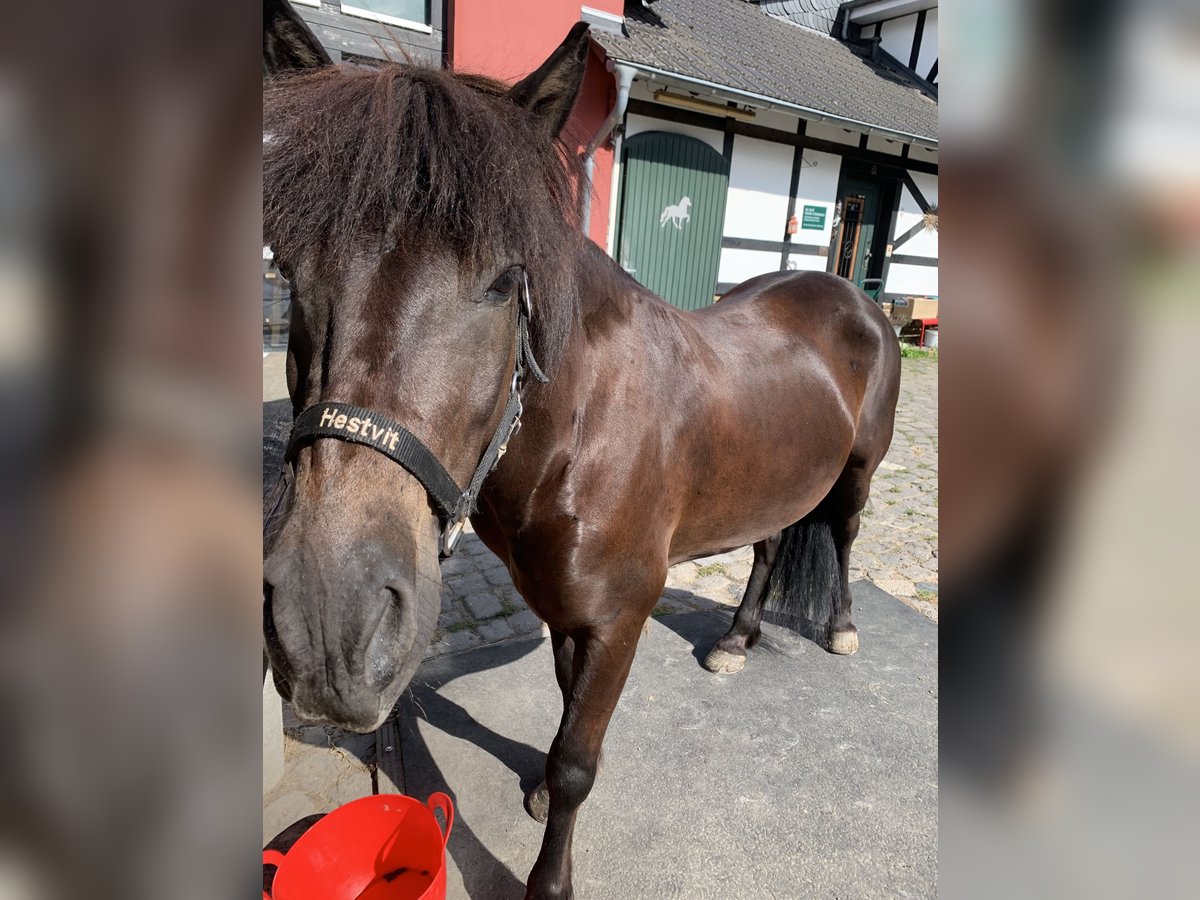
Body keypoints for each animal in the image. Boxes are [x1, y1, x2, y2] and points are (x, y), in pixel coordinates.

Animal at [262, 8, 902, 900]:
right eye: (291, 267)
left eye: (504, 281)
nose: (328, 627)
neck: (581, 434)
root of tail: (856, 297)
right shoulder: (565, 609)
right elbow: (565, 711)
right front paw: (533, 790)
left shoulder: (618, 615)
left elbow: (577, 760)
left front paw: (548, 873)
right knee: (772, 544)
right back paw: (735, 641)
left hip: (857, 472)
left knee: (840, 535)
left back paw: (839, 628)